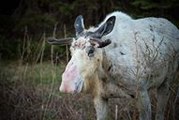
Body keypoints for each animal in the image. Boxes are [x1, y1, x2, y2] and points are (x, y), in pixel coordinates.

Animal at [48, 11, 179, 120]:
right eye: (71, 49)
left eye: (91, 51)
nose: (67, 84)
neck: (106, 71)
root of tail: (174, 27)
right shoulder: (99, 97)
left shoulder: (142, 92)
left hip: (166, 82)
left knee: (160, 113)